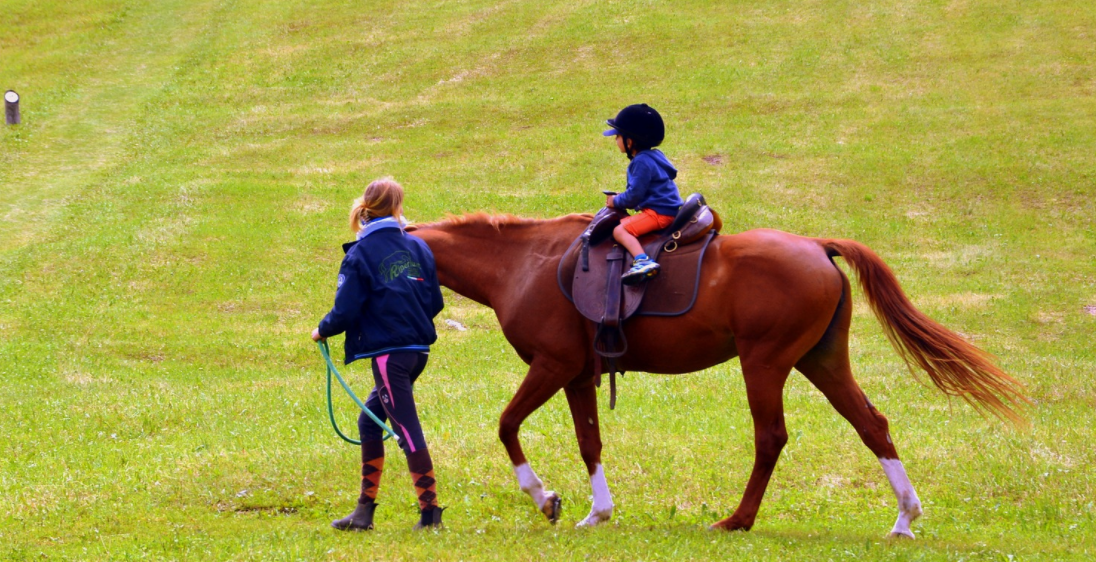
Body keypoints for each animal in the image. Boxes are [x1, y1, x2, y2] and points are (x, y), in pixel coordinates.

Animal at [405, 212, 1027, 537]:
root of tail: (817, 247)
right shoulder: (578, 375)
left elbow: (507, 426)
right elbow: (589, 443)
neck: (523, 264)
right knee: (872, 424)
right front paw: (597, 511)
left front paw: (544, 497)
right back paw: (904, 516)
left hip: (766, 362)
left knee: (770, 437)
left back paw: (739, 519)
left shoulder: (551, 366)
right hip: (820, 361)